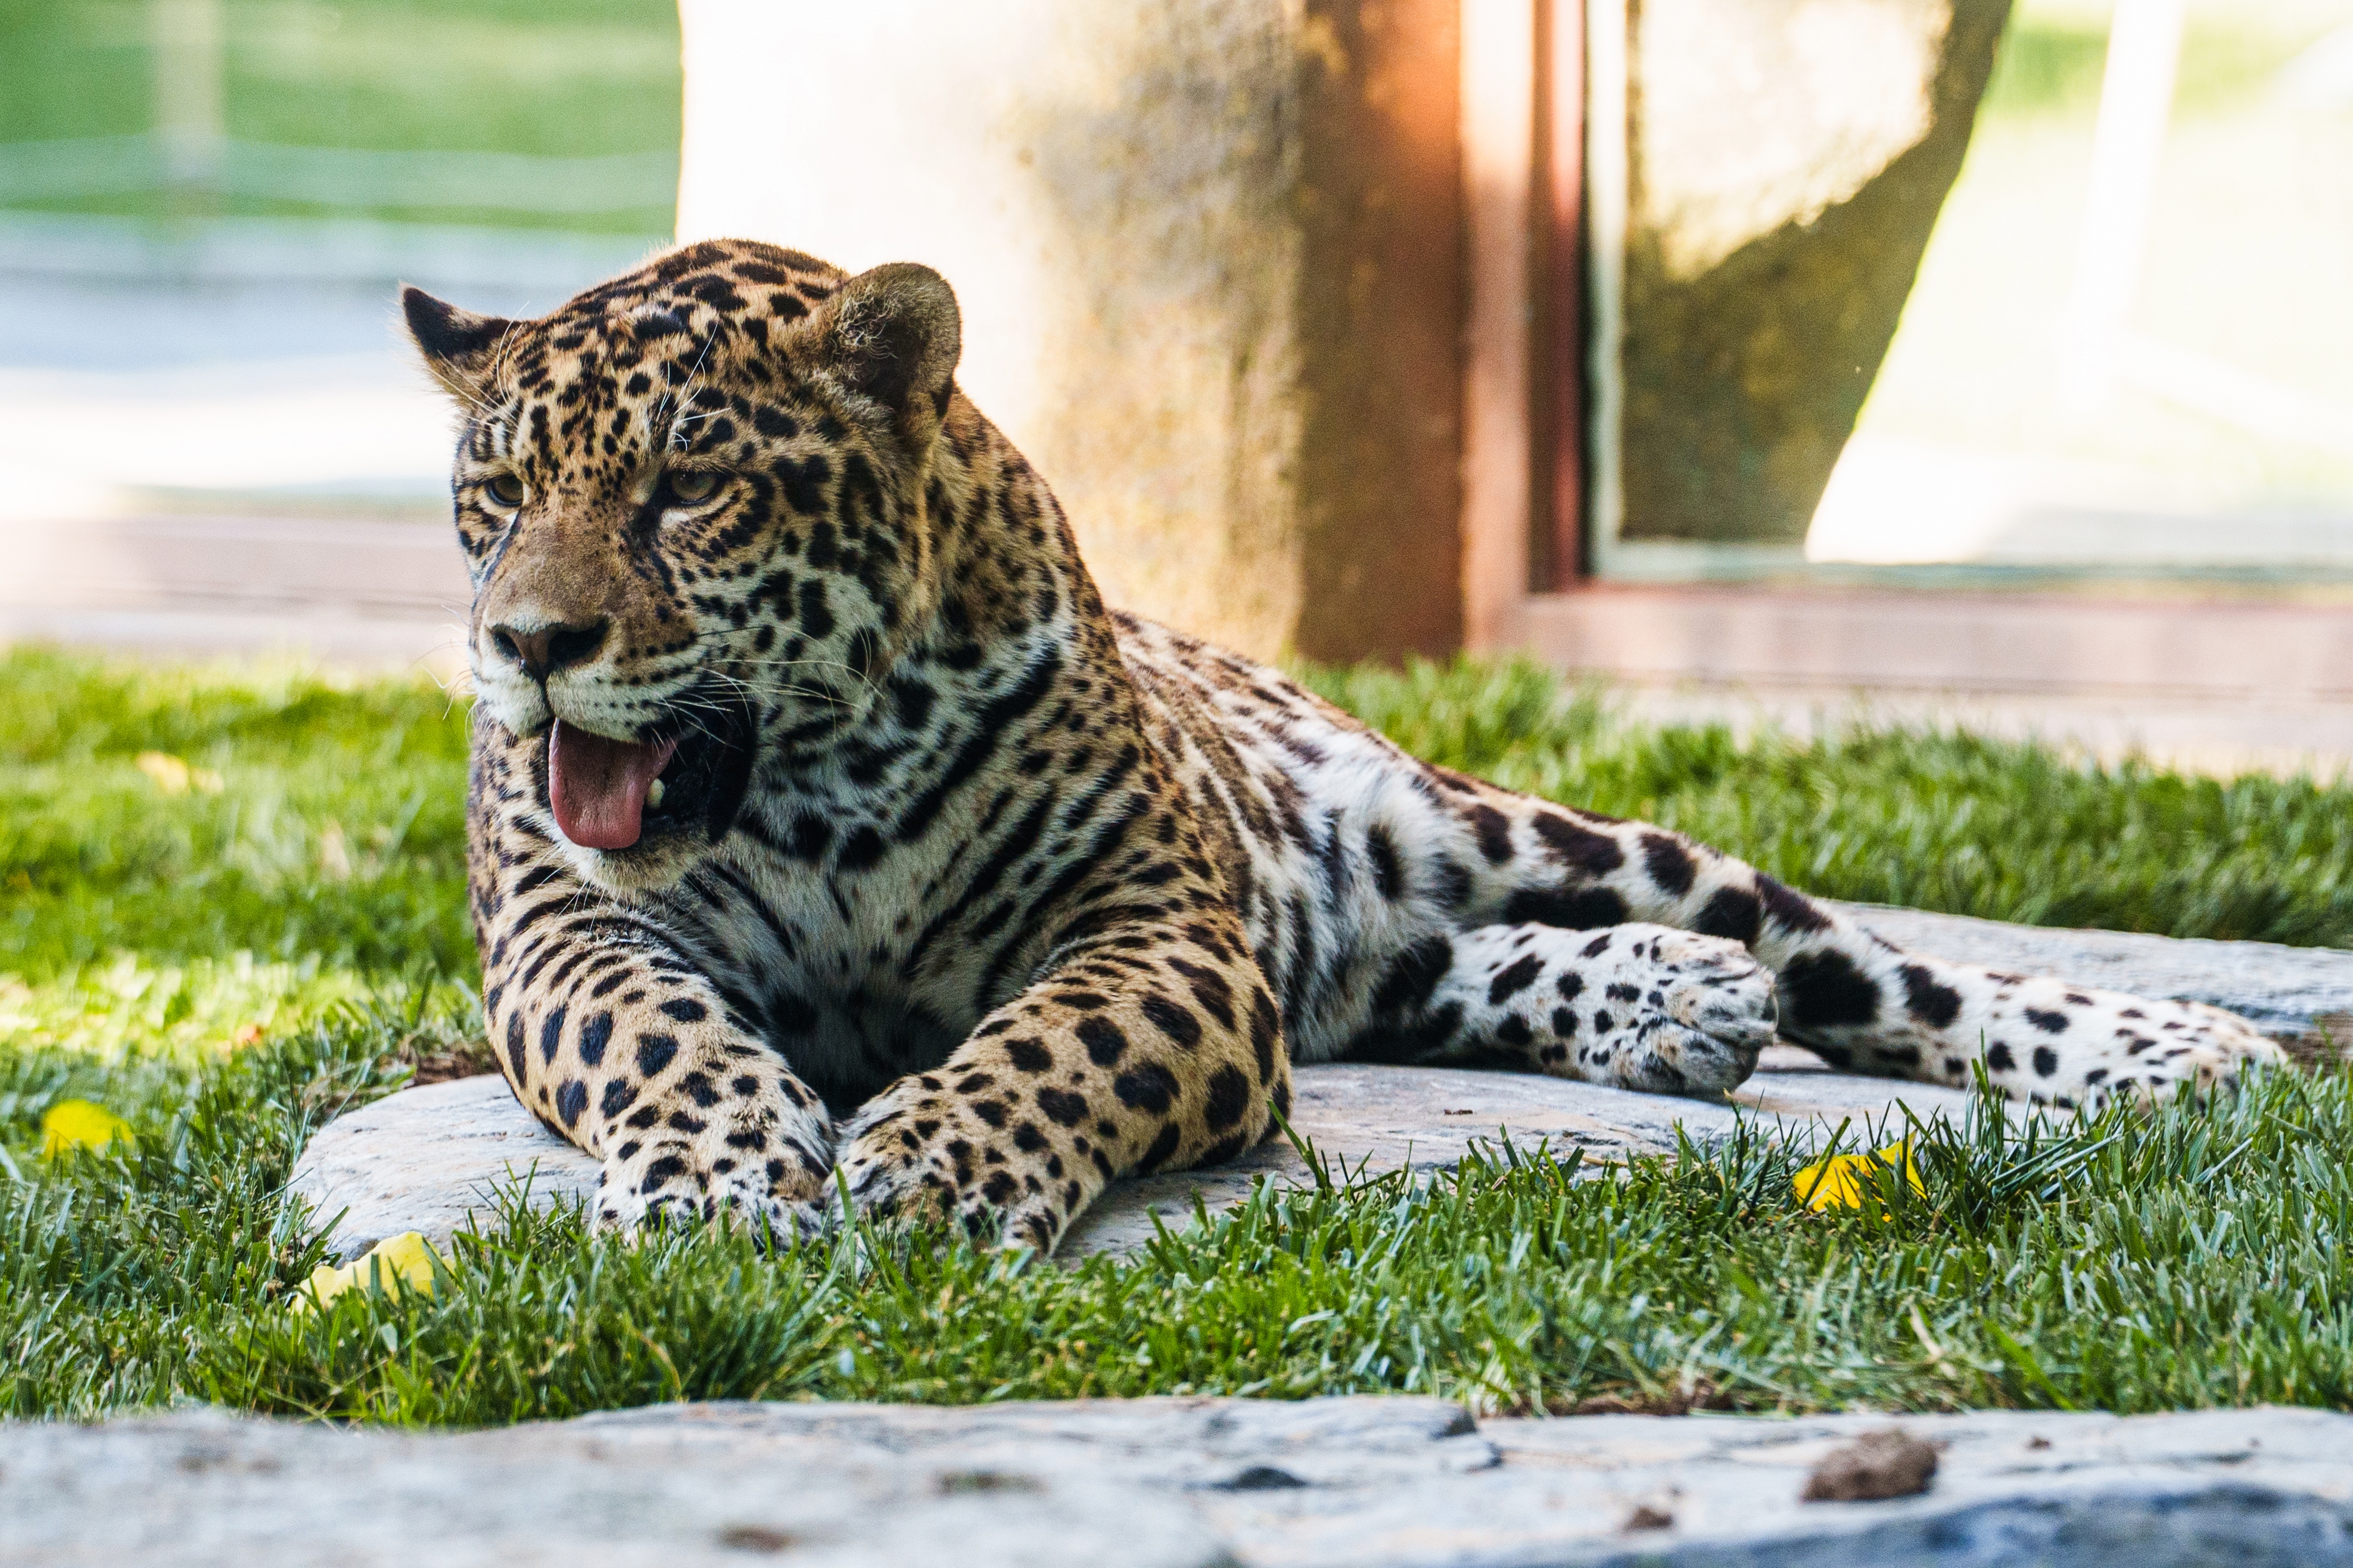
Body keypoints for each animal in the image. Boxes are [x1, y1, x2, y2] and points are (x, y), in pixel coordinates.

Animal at [401, 238, 2285, 1253]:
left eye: (688, 489)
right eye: (494, 497)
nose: (528, 649)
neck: (813, 794)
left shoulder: (1155, 929)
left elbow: (1054, 1044)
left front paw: (938, 1163)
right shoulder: (571, 930)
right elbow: (654, 1032)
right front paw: (721, 1175)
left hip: (1540, 835)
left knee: (1868, 967)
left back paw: (2170, 1049)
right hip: (1347, 944)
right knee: (1463, 973)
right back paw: (1666, 1007)